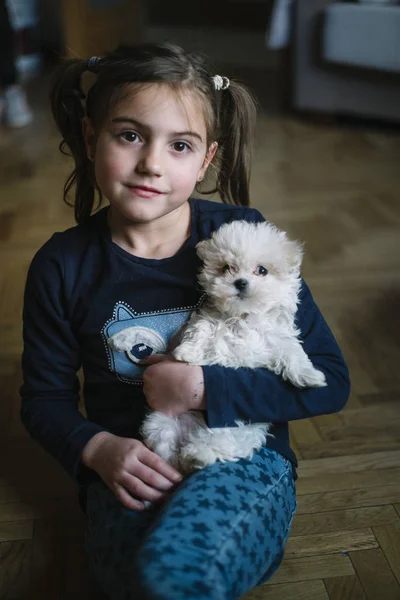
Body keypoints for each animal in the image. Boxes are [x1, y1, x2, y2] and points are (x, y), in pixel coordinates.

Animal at [141, 220, 324, 474]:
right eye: (227, 268)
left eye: (262, 270)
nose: (240, 282)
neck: (242, 317)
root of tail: (190, 432)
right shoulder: (208, 319)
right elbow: (200, 332)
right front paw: (186, 352)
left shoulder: (275, 340)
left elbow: (292, 352)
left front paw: (310, 376)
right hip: (160, 422)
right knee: (166, 446)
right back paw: (181, 460)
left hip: (241, 427)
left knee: (220, 440)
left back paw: (197, 454)